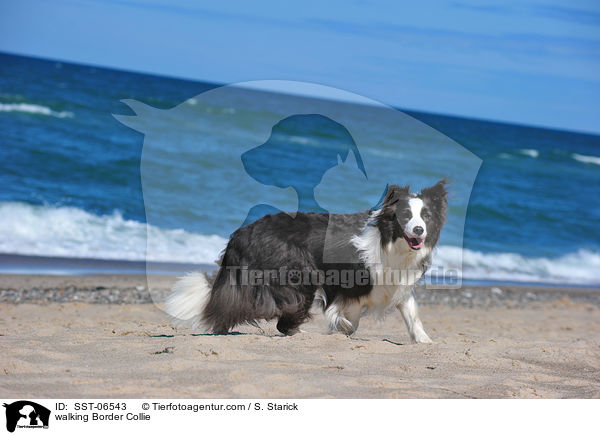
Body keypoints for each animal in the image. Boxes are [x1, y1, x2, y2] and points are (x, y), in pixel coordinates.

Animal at [166, 181, 448, 344]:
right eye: (405, 215)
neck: (389, 240)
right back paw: (300, 332)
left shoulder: (399, 284)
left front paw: (425, 341)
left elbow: (411, 313)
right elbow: (351, 318)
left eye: (426, 216)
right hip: (299, 273)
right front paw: (341, 328)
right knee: (276, 315)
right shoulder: (352, 284)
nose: (419, 231)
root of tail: (242, 233)